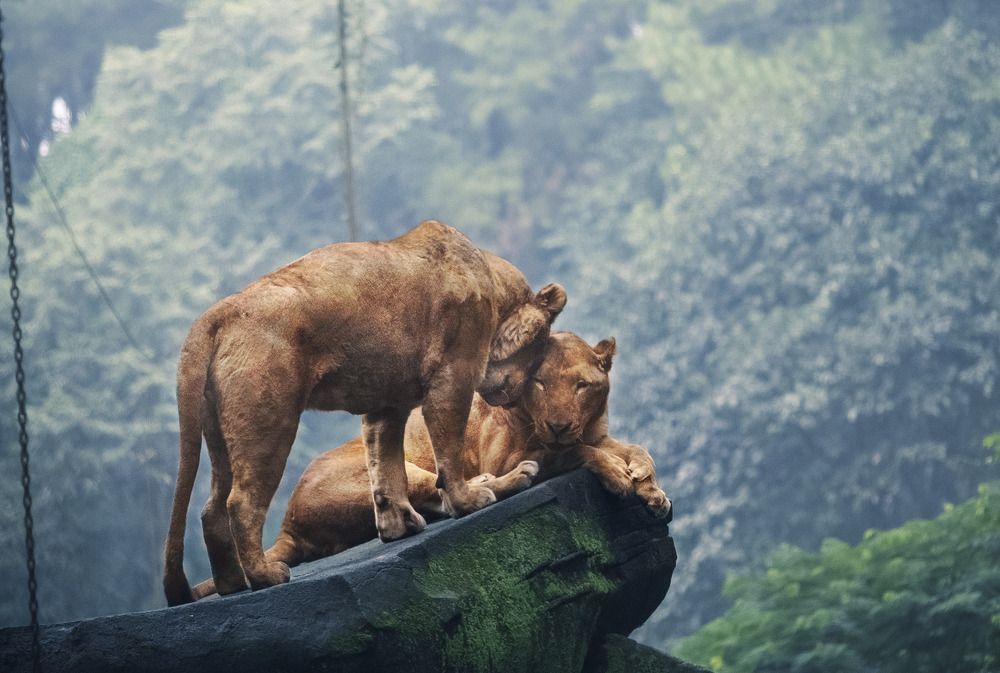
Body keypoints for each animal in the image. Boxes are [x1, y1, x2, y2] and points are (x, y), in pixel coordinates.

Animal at [164, 220, 567, 606]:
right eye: (541, 346)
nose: (514, 394)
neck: (491, 280)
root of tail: (218, 313)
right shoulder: (453, 375)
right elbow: (447, 450)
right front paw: (467, 501)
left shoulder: (386, 406)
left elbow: (384, 465)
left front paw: (397, 526)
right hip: (270, 420)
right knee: (242, 503)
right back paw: (265, 576)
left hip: (220, 434)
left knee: (212, 508)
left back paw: (232, 584)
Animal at [190, 331, 670, 598]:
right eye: (539, 382)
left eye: (582, 386)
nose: (558, 423)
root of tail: (288, 521)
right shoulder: (514, 451)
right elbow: (574, 453)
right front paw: (618, 477)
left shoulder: (597, 432)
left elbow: (635, 448)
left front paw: (651, 489)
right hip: (395, 466)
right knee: (447, 494)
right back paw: (500, 481)